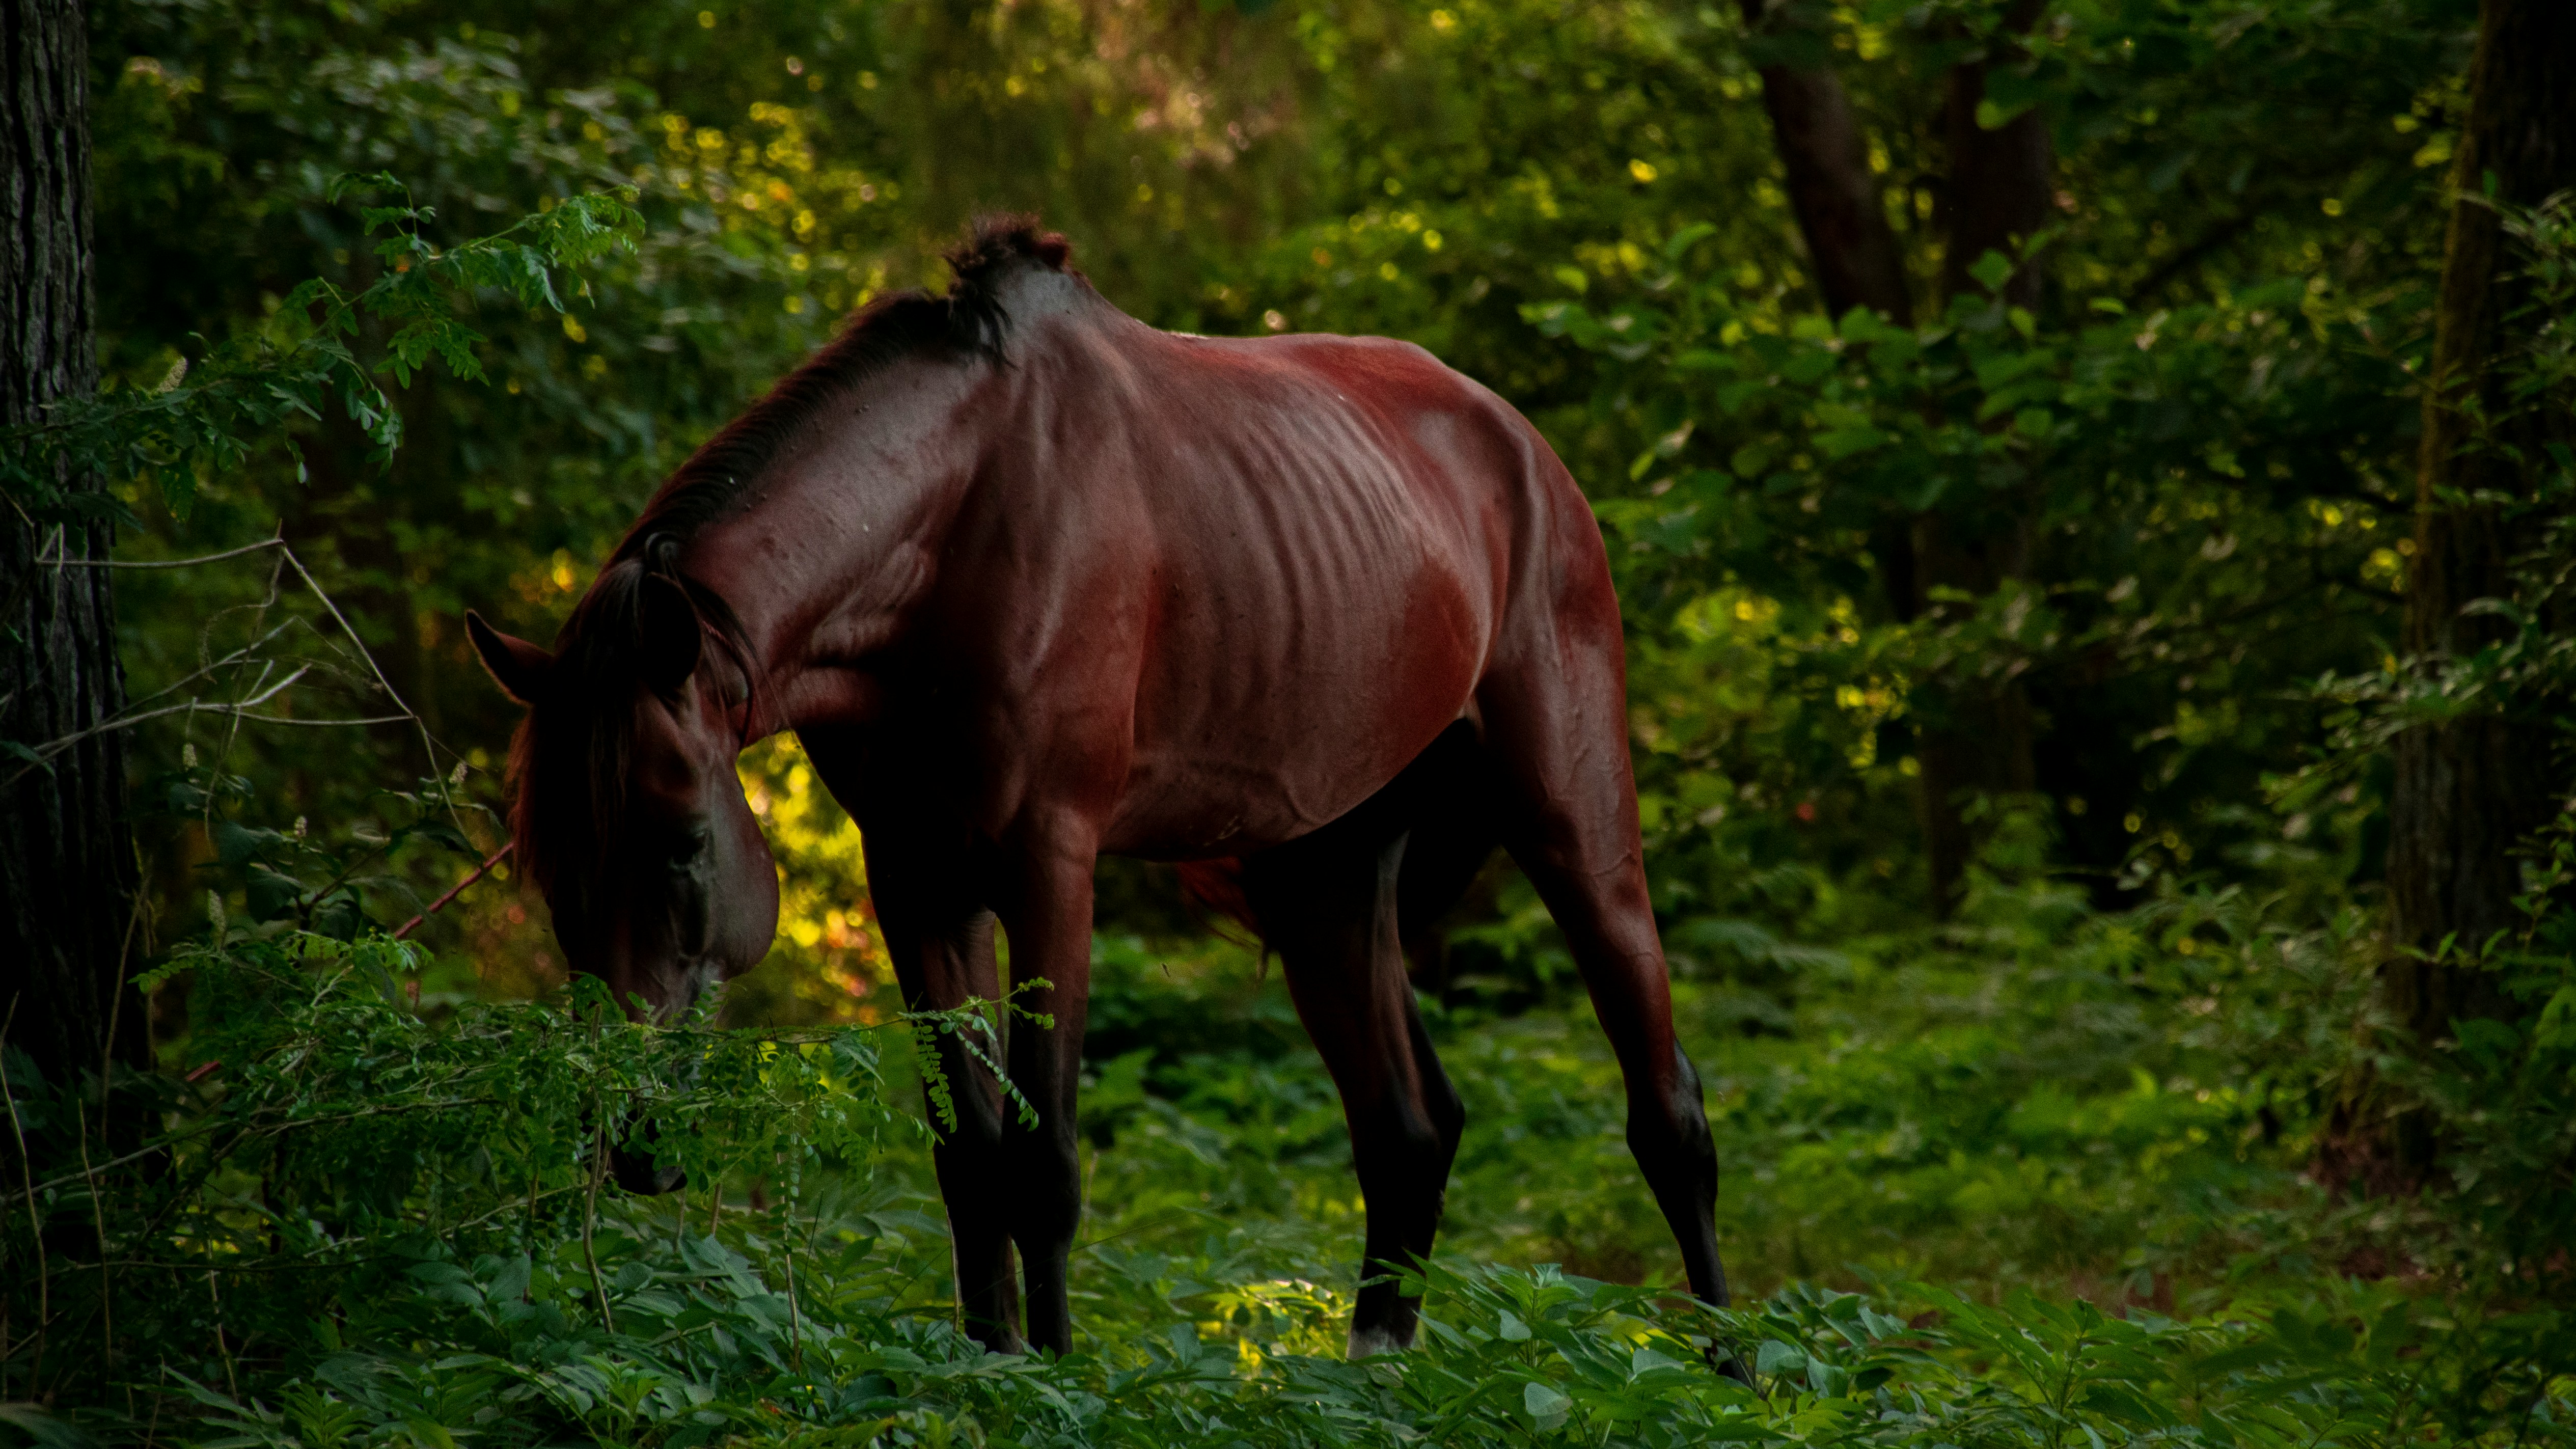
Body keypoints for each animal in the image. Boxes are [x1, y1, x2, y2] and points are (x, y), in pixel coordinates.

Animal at [466, 217, 1738, 1364]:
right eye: (550, 873)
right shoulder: (916, 878)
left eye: (683, 843)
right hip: (1324, 879)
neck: (956, 526)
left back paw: (1732, 1368)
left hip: (1575, 826)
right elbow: (969, 1161)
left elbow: (1046, 1165)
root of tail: (1522, 448)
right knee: (1407, 1131)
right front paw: (993, 1367)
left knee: (1667, 1116)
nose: (636, 1147)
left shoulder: (1050, 865)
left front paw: (1060, 1379)